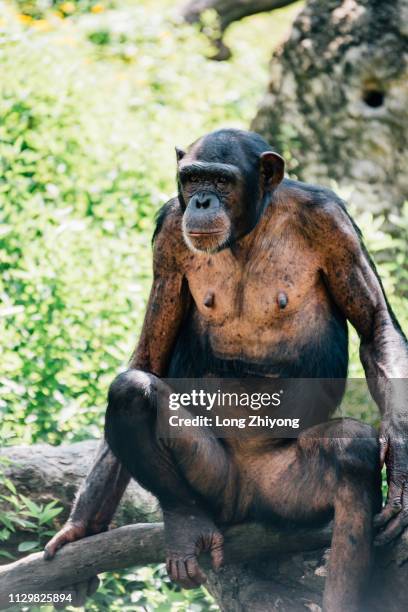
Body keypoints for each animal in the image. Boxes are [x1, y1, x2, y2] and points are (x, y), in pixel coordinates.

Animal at [45, 126, 408, 608]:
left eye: (221, 181)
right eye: (192, 178)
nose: (200, 201)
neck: (247, 230)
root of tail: (244, 499)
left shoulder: (333, 224)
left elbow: (375, 327)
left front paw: (401, 463)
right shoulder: (168, 237)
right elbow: (149, 357)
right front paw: (81, 528)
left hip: (284, 492)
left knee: (351, 449)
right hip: (212, 482)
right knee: (131, 393)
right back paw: (186, 525)